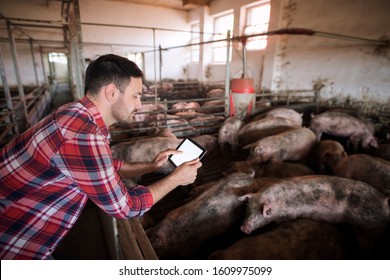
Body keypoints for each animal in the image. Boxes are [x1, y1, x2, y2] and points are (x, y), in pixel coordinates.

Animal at [241, 176, 390, 250]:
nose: (242, 228)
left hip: (368, 227)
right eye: (248, 209)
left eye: (263, 212)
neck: (280, 202)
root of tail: (384, 201)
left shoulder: (287, 215)